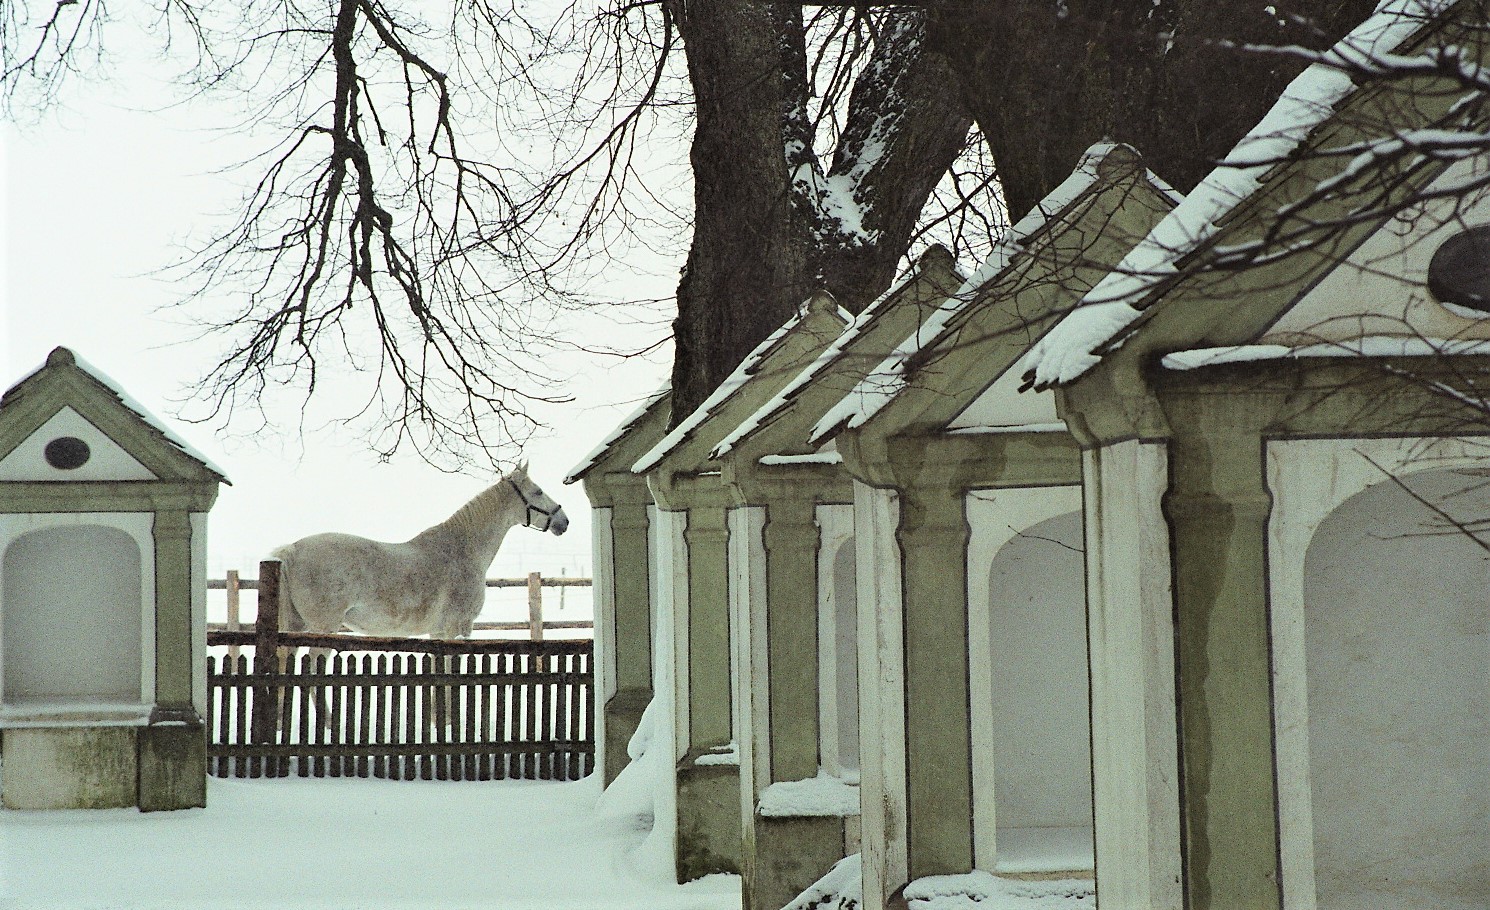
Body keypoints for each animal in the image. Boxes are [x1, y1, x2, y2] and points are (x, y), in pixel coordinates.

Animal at [271, 461, 566, 640]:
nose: (564, 521)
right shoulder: (456, 629)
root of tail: (292, 550)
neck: (461, 550)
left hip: (298, 625)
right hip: (324, 627)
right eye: (538, 492)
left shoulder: (438, 633)